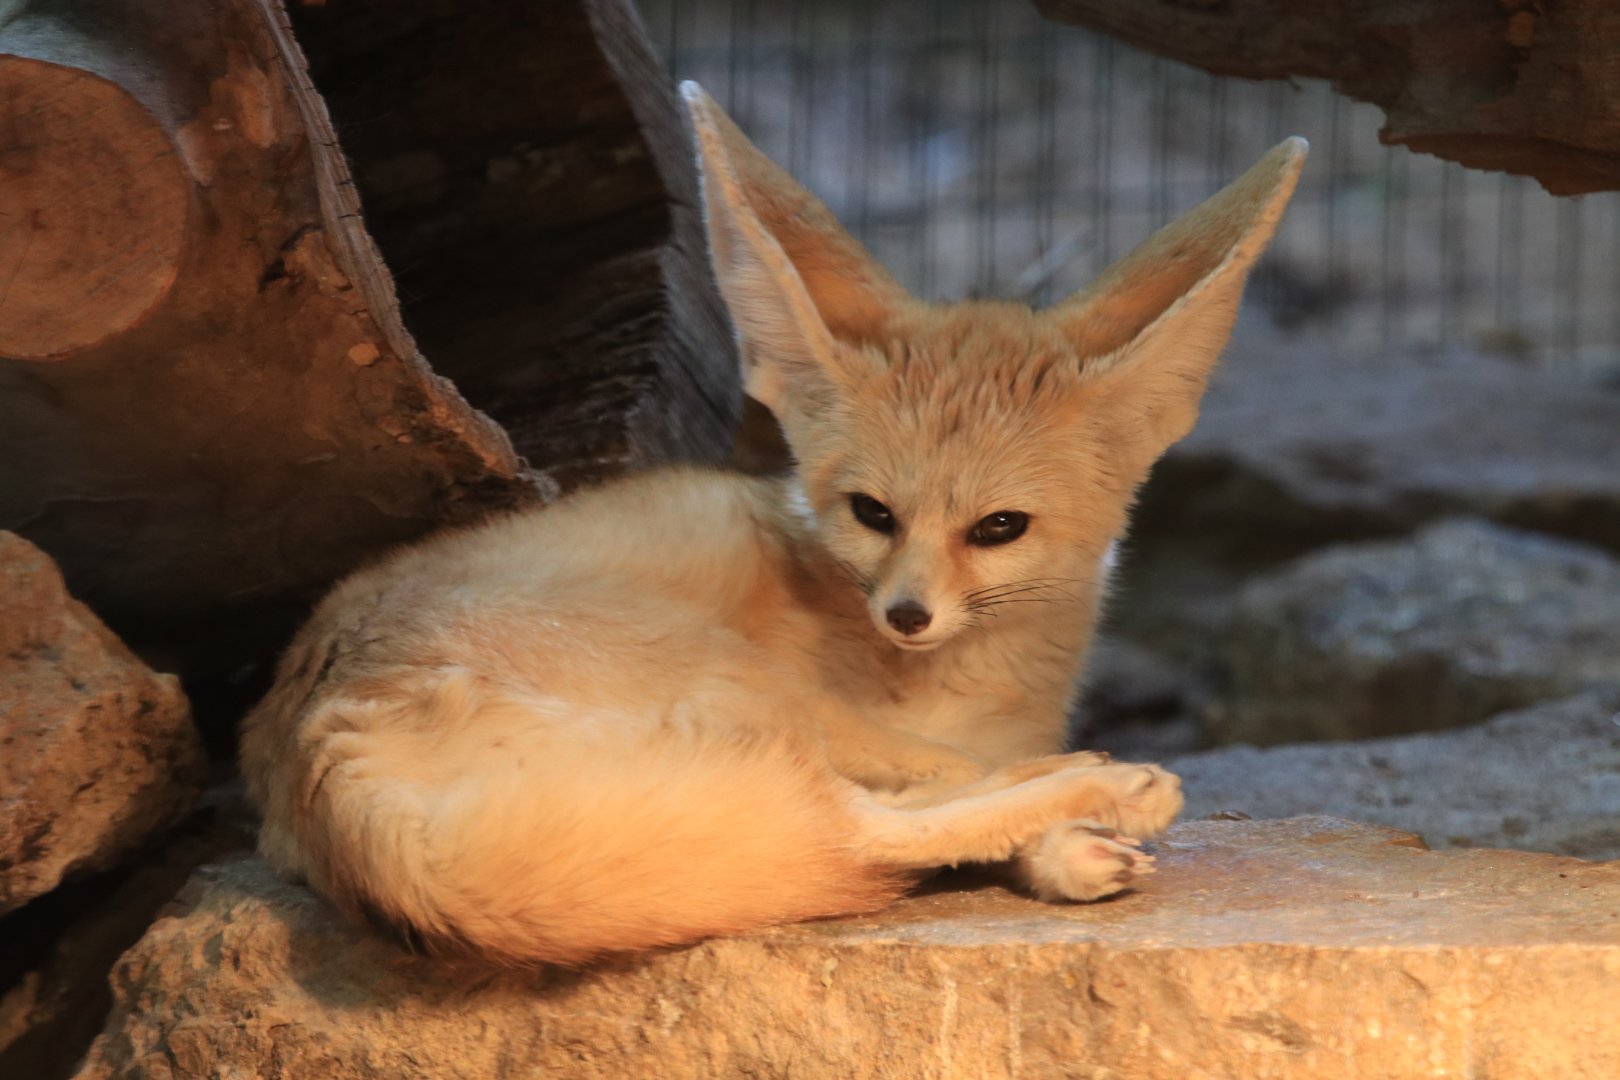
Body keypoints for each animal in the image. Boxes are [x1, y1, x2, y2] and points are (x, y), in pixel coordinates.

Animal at [240, 83, 1305, 966]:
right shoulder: (861, 716)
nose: (906, 616)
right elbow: (944, 773)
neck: (976, 681)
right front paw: (1066, 829)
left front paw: (1060, 844)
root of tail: (313, 745)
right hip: (743, 683)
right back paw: (1102, 787)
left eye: (999, 527)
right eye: (873, 514)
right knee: (858, 826)